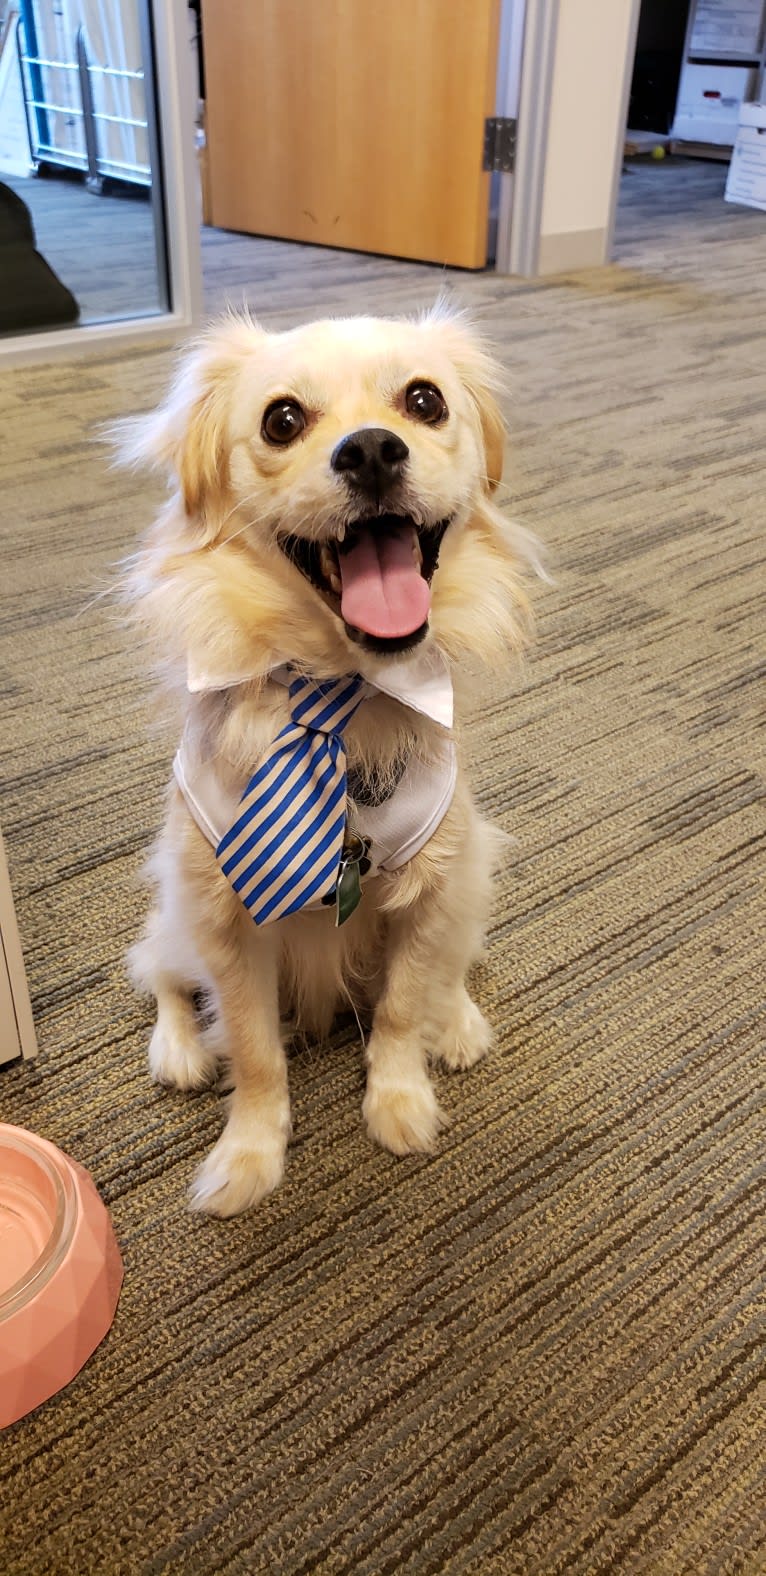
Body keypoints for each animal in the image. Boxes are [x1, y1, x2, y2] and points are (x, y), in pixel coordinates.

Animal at [125, 307, 539, 1216]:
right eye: (282, 420)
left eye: (424, 401)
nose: (373, 450)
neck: (338, 691)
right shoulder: (224, 920)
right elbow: (253, 1051)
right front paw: (247, 1158)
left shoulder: (428, 890)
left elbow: (401, 1009)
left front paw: (400, 1103)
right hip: (175, 911)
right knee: (158, 973)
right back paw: (178, 1050)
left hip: (472, 877)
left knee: (454, 962)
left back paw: (458, 1021)